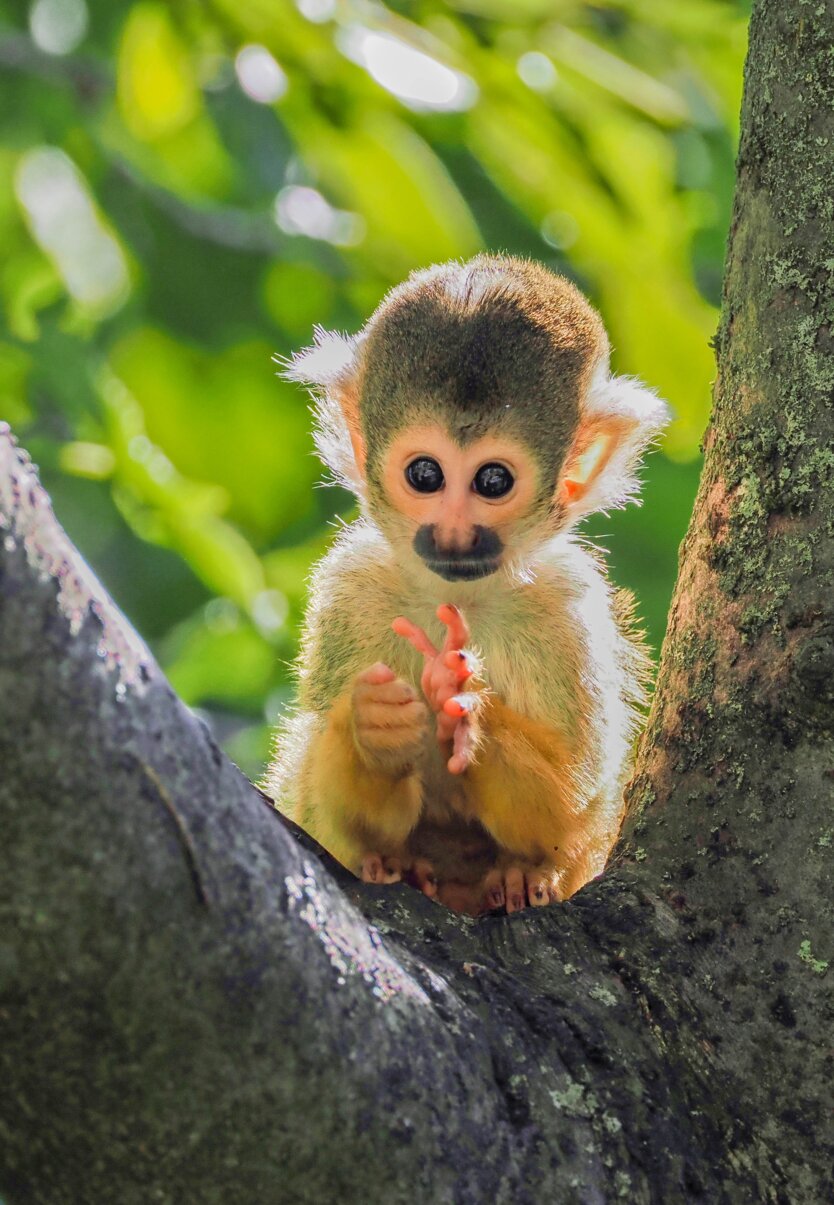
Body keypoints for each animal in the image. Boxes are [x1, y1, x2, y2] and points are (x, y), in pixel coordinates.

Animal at [267, 254, 670, 910]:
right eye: (425, 475)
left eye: (492, 481)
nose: (455, 535)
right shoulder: (350, 588)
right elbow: (336, 803)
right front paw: (374, 729)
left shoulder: (568, 606)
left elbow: (570, 809)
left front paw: (465, 704)